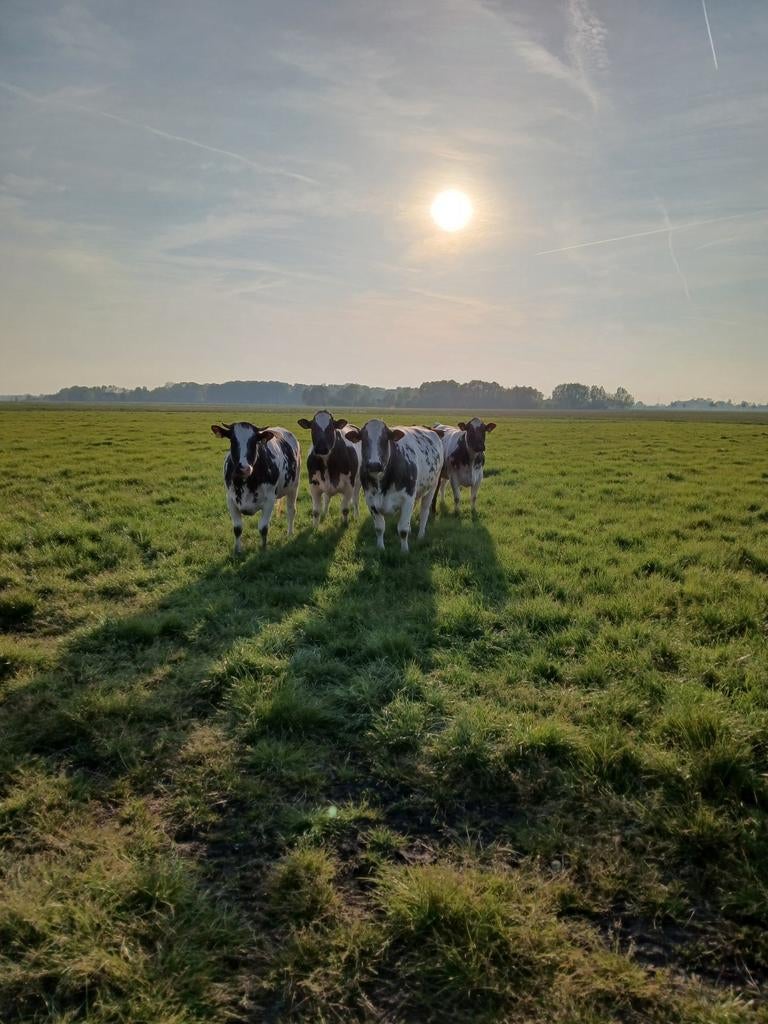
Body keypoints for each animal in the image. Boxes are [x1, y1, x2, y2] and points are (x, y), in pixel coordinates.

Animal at [210, 422, 300, 553]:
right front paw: (237, 550)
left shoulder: (269, 501)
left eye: (254, 442)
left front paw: (263, 549)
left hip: (294, 486)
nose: (244, 468)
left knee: (291, 510)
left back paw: (289, 533)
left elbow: (263, 528)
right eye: (233, 440)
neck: (246, 482)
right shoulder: (230, 500)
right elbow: (237, 528)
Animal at [344, 420, 443, 552]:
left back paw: (421, 535)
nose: (374, 465)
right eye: (363, 439)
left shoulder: (407, 499)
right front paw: (380, 548)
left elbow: (402, 529)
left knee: (424, 512)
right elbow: (379, 528)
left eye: (385, 439)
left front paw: (404, 551)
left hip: (432, 487)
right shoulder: (371, 501)